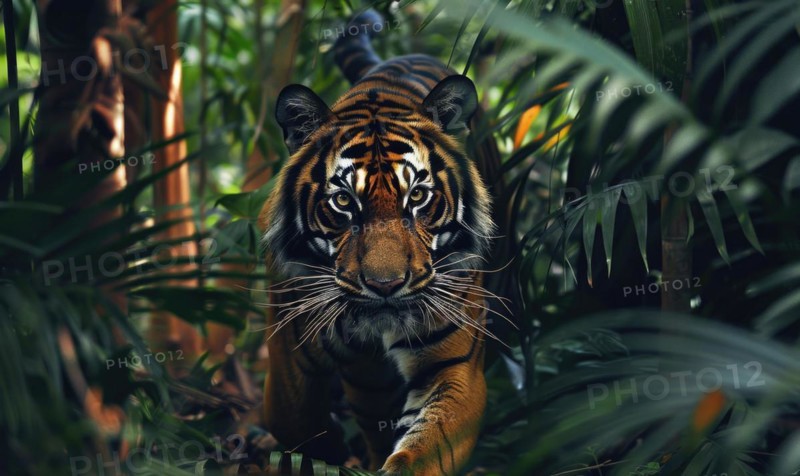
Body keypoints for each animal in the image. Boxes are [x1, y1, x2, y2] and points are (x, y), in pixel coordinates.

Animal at [259, 9, 504, 475]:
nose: (385, 286)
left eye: (418, 196)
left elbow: (421, 452)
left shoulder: (455, 369)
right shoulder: (289, 358)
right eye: (343, 201)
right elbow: (299, 431)